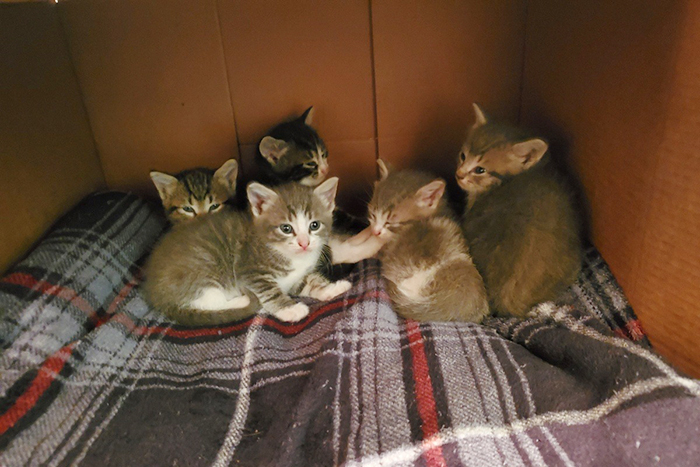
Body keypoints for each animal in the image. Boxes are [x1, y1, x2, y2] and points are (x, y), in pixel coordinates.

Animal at [143, 177, 352, 328]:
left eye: (314, 225)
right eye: (286, 228)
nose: (304, 243)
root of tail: (155, 294)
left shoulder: (296, 277)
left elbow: (309, 283)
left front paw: (330, 288)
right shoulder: (249, 271)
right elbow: (270, 291)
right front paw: (290, 310)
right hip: (204, 268)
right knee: (206, 301)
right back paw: (240, 300)